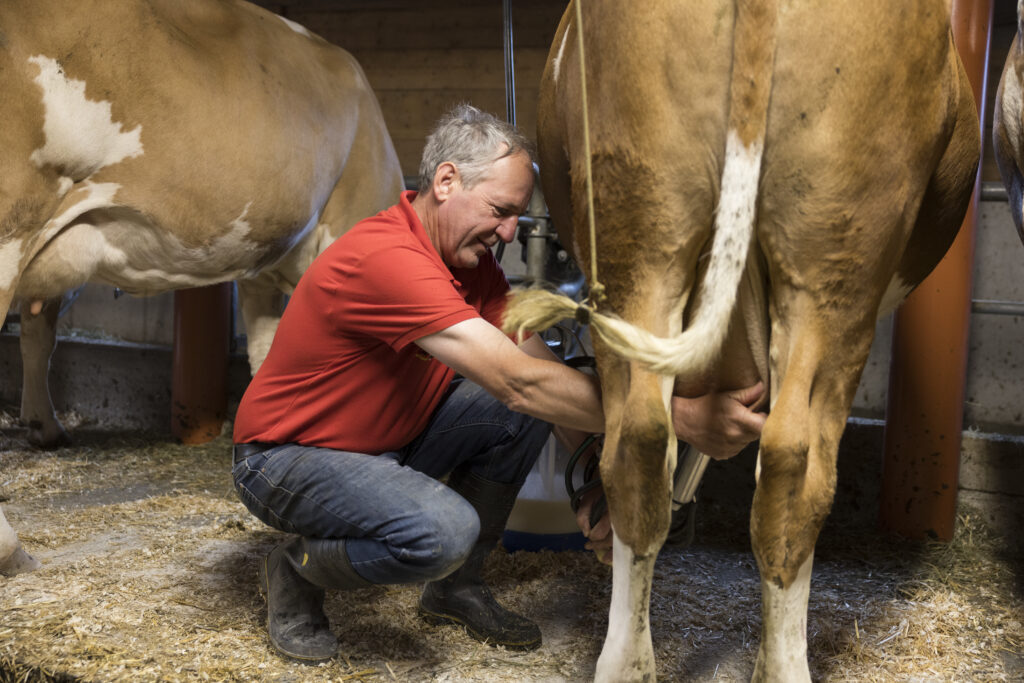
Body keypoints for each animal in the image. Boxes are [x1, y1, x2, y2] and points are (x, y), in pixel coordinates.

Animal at [0, 0, 403, 577]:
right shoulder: (343, 222)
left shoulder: (261, 267)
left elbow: (267, 355)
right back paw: (9, 545)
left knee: (38, 331)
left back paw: (44, 427)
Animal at [507, 1, 978, 683]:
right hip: (838, 266)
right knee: (796, 464)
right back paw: (779, 664)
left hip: (642, 233)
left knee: (641, 443)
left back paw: (627, 661)